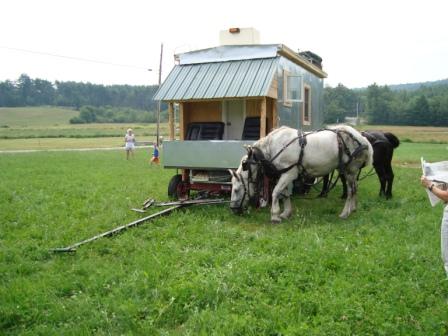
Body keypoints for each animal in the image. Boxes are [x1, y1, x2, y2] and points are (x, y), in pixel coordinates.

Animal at [229, 124, 372, 222]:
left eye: (236, 189)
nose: (233, 209)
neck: (275, 146)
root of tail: (362, 139)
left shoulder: (289, 173)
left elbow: (276, 192)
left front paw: (275, 215)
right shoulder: (284, 174)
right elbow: (284, 194)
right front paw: (285, 213)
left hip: (350, 170)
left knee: (351, 191)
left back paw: (345, 213)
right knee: (355, 188)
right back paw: (353, 208)